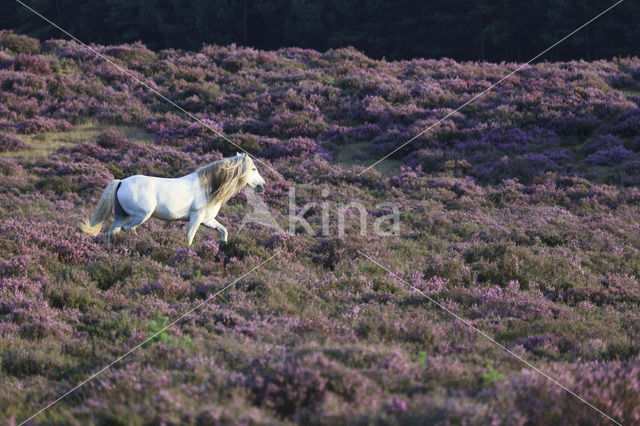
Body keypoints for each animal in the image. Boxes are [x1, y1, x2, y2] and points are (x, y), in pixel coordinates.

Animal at [81, 153, 266, 246]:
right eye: (254, 169)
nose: (263, 186)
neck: (208, 188)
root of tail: (121, 182)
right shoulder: (196, 217)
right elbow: (189, 237)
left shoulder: (207, 220)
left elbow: (223, 231)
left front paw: (224, 246)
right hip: (140, 215)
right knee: (127, 229)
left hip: (122, 215)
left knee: (112, 232)